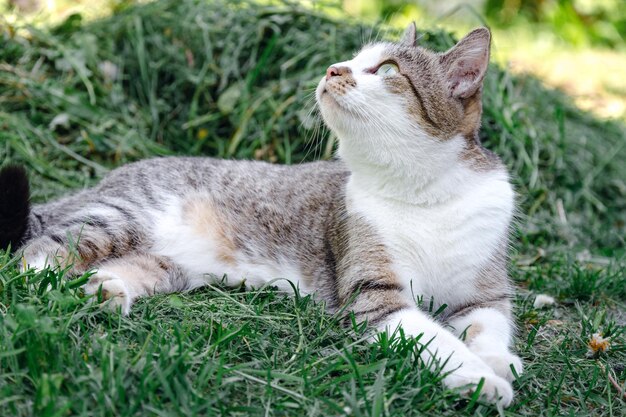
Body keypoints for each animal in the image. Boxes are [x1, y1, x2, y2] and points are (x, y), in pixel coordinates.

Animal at [1, 23, 520, 406]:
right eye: (353, 59)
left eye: (388, 68)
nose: (333, 68)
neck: (422, 194)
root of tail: (110, 178)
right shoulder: (375, 296)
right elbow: (436, 341)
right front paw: (482, 379)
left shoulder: (486, 293)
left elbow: (489, 326)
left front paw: (498, 361)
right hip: (120, 219)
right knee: (36, 252)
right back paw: (42, 282)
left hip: (166, 264)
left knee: (119, 267)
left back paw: (104, 290)